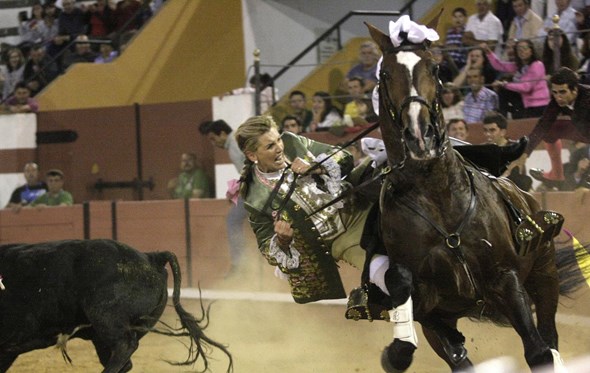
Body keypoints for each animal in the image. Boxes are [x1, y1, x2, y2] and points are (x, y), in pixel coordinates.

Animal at [366, 16, 588, 370]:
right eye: (385, 74)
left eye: (435, 67)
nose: (419, 133)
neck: (439, 197)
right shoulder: (429, 307)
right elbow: (405, 318)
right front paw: (397, 350)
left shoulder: (505, 278)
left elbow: (538, 351)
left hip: (544, 275)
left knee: (548, 337)